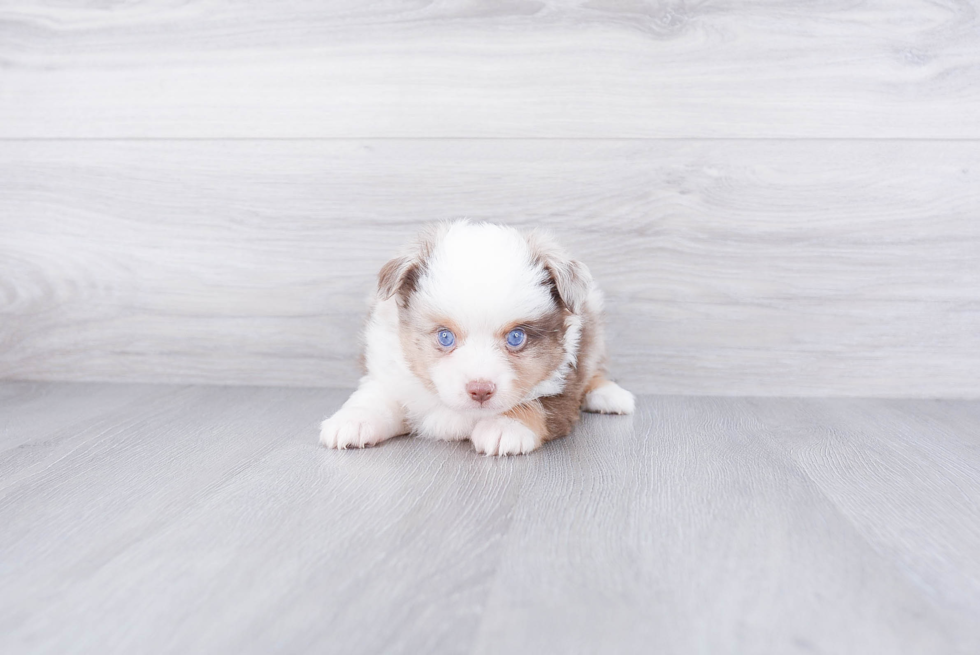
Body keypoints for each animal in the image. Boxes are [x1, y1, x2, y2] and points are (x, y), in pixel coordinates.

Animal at [320, 220, 636, 456]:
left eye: (516, 337)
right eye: (445, 337)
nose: (480, 390)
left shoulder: (565, 377)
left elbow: (540, 402)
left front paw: (506, 427)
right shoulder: (391, 371)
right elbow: (375, 396)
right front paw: (353, 420)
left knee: (595, 370)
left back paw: (611, 395)